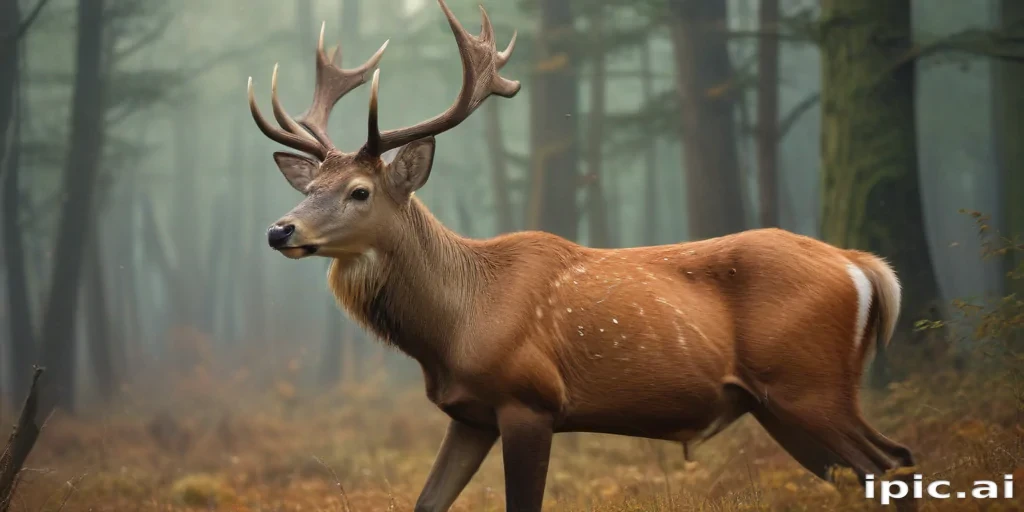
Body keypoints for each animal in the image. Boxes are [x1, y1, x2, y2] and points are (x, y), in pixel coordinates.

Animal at [245, 1, 916, 510]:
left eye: (359, 191)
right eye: (308, 186)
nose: (279, 230)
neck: (457, 327)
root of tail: (866, 268)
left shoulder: (530, 398)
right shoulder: (470, 413)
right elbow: (426, 501)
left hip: (809, 383)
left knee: (894, 462)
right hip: (781, 402)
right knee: (885, 467)